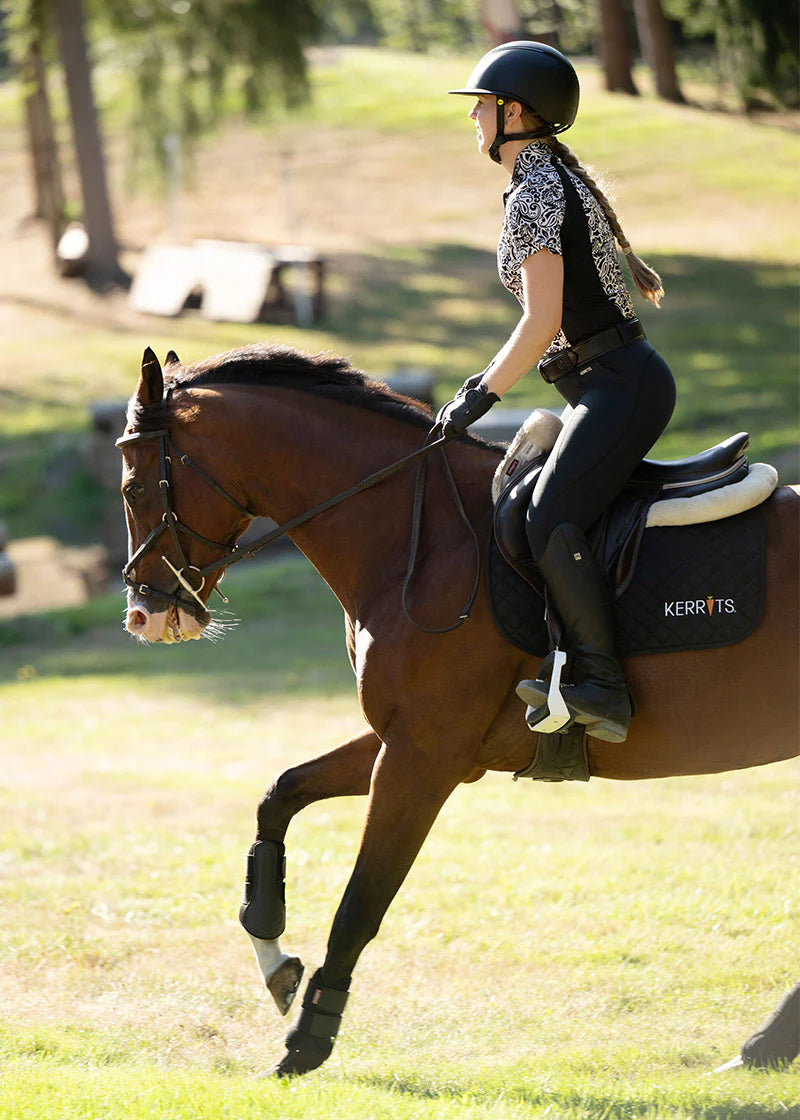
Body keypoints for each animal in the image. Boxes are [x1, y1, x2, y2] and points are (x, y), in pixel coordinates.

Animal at [117, 343, 800, 1077]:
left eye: (132, 489)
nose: (142, 615)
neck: (417, 536)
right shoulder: (410, 740)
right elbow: (280, 794)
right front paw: (273, 956)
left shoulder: (425, 755)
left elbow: (360, 903)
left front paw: (308, 1040)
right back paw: (768, 1043)